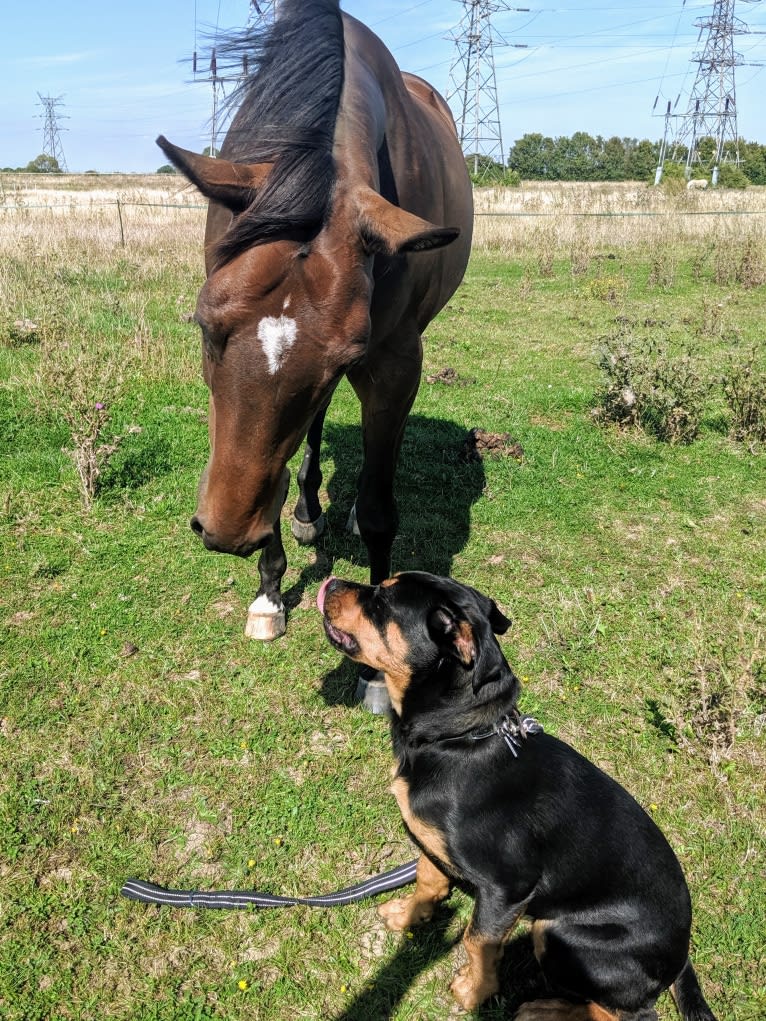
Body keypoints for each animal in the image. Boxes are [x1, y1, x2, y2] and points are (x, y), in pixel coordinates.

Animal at [157, 0, 473, 682]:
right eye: (204, 324)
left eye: (345, 354)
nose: (224, 532)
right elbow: (271, 467)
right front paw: (269, 593)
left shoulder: (392, 363)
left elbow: (379, 509)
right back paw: (307, 509)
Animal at [318, 575, 719, 1021]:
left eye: (383, 599)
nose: (330, 582)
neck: (458, 737)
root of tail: (680, 957)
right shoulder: (431, 841)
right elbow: (428, 879)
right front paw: (407, 916)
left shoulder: (508, 887)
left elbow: (478, 940)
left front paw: (473, 992)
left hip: (559, 933)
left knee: (621, 1013)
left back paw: (543, 1009)